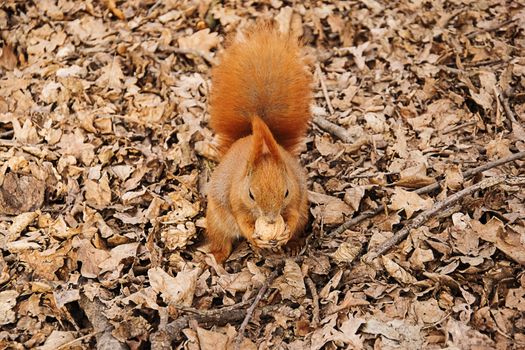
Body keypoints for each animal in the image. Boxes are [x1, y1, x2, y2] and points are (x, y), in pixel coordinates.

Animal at [205, 23, 312, 262]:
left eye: (286, 192)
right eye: (251, 194)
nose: (271, 220)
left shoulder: (296, 197)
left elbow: (292, 214)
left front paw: (286, 233)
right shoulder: (236, 199)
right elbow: (242, 220)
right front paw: (255, 237)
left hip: (305, 213)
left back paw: (294, 244)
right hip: (215, 219)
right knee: (220, 239)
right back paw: (218, 256)